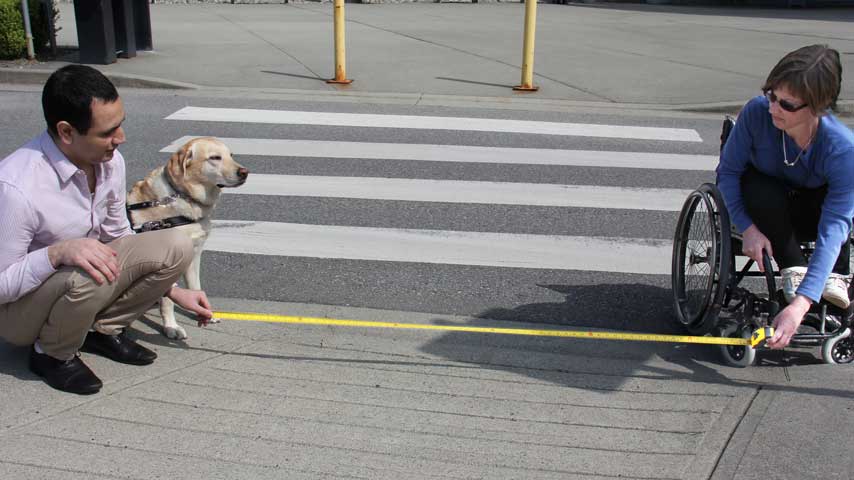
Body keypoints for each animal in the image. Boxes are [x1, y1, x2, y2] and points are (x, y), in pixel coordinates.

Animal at [127, 135, 249, 340]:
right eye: (214, 157)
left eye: (230, 155)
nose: (245, 172)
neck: (184, 197)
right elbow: (168, 300)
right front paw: (171, 326)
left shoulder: (195, 254)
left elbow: (196, 287)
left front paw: (205, 312)